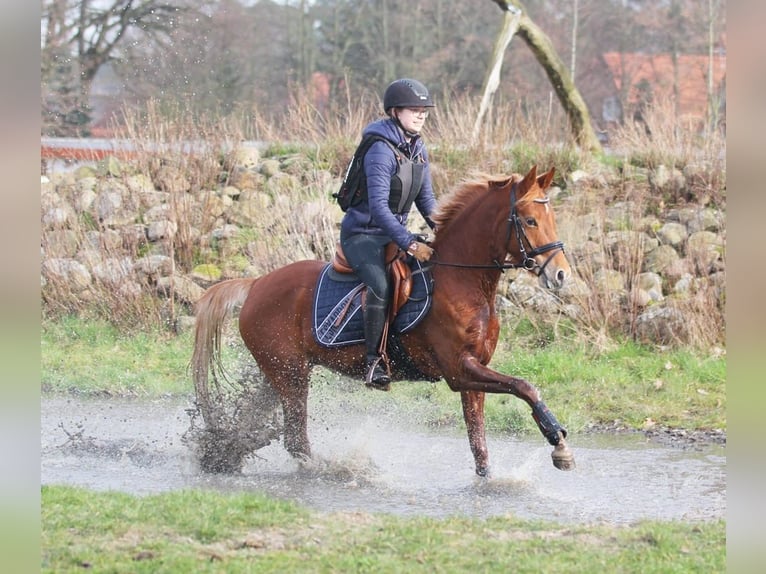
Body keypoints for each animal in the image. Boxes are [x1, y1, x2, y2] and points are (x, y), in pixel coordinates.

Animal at [190, 165, 576, 476]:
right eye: (529, 221)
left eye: (553, 219)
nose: (560, 275)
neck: (461, 279)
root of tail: (256, 284)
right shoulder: (458, 370)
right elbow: (524, 386)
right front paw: (558, 442)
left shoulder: (473, 372)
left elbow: (479, 444)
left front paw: (491, 480)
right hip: (291, 374)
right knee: (296, 439)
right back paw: (331, 471)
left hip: (280, 372)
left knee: (261, 424)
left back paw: (222, 452)